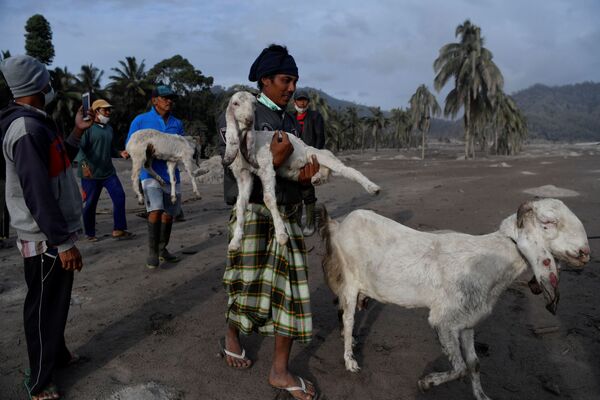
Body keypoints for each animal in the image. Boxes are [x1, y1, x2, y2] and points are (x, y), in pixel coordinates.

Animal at [220, 92, 380, 252]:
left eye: (254, 104)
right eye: (235, 103)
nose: (249, 120)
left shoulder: (266, 167)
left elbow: (269, 199)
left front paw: (281, 235)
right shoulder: (243, 175)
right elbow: (241, 204)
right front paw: (235, 242)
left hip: (316, 155)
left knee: (346, 170)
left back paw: (373, 188)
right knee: (325, 171)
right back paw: (317, 178)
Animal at [318, 198, 592, 400]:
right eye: (547, 221)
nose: (585, 253)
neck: (491, 260)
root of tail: (341, 224)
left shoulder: (467, 322)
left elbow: (474, 364)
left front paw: (481, 396)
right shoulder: (443, 321)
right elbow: (459, 368)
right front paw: (426, 383)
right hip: (350, 284)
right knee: (349, 319)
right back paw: (350, 361)